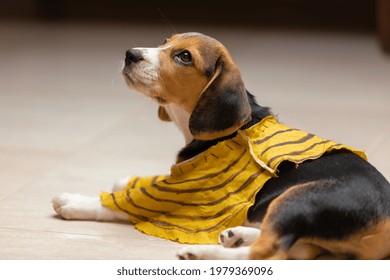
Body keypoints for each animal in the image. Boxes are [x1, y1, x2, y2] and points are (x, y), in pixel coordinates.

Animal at [53, 31, 390, 260]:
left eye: (184, 57)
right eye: (165, 41)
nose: (130, 53)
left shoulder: (184, 194)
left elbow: (126, 201)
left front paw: (76, 202)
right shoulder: (181, 177)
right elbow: (154, 179)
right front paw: (127, 178)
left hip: (299, 198)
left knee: (267, 254)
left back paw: (202, 254)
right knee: (292, 250)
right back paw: (237, 235)